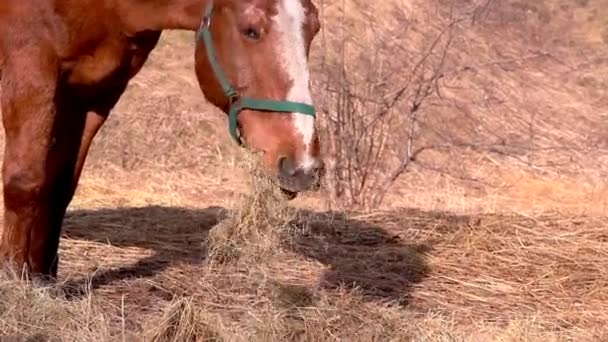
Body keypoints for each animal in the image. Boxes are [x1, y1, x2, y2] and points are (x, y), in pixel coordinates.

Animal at [0, 0, 324, 284]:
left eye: (314, 28)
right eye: (251, 30)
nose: (304, 166)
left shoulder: (93, 91)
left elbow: (59, 187)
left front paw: (42, 279)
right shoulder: (31, 71)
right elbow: (26, 183)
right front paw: (15, 282)